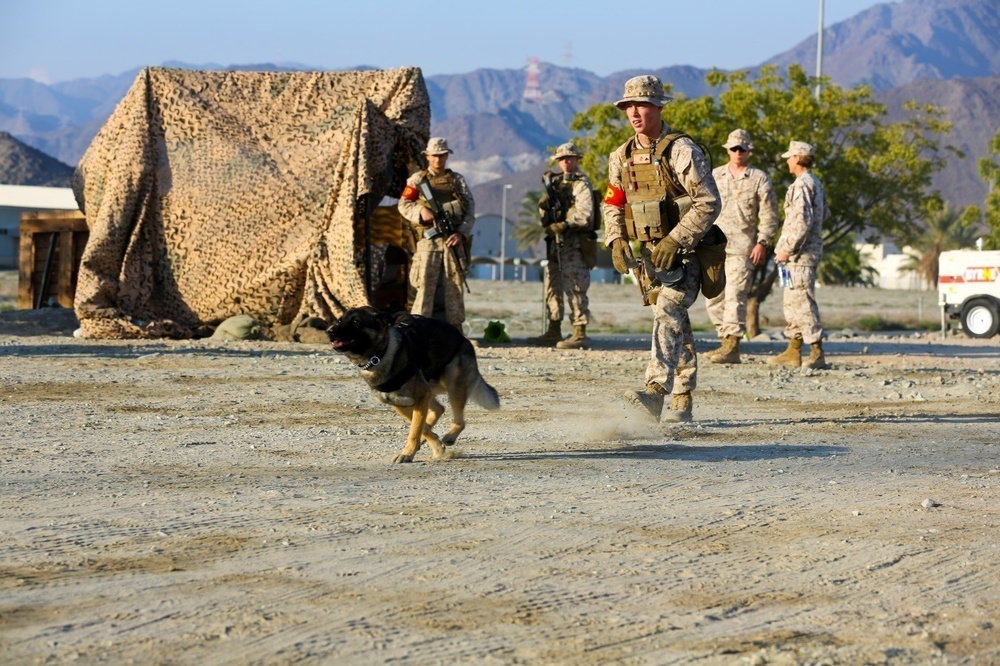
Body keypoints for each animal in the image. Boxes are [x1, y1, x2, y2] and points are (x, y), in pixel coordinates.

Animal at [328, 308, 500, 460]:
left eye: (356, 322)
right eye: (339, 320)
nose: (329, 331)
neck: (380, 355)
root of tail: (463, 338)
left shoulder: (420, 397)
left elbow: (415, 429)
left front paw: (408, 453)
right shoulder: (399, 402)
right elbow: (419, 426)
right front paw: (435, 447)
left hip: (453, 386)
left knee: (459, 421)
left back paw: (450, 436)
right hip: (430, 389)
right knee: (439, 408)